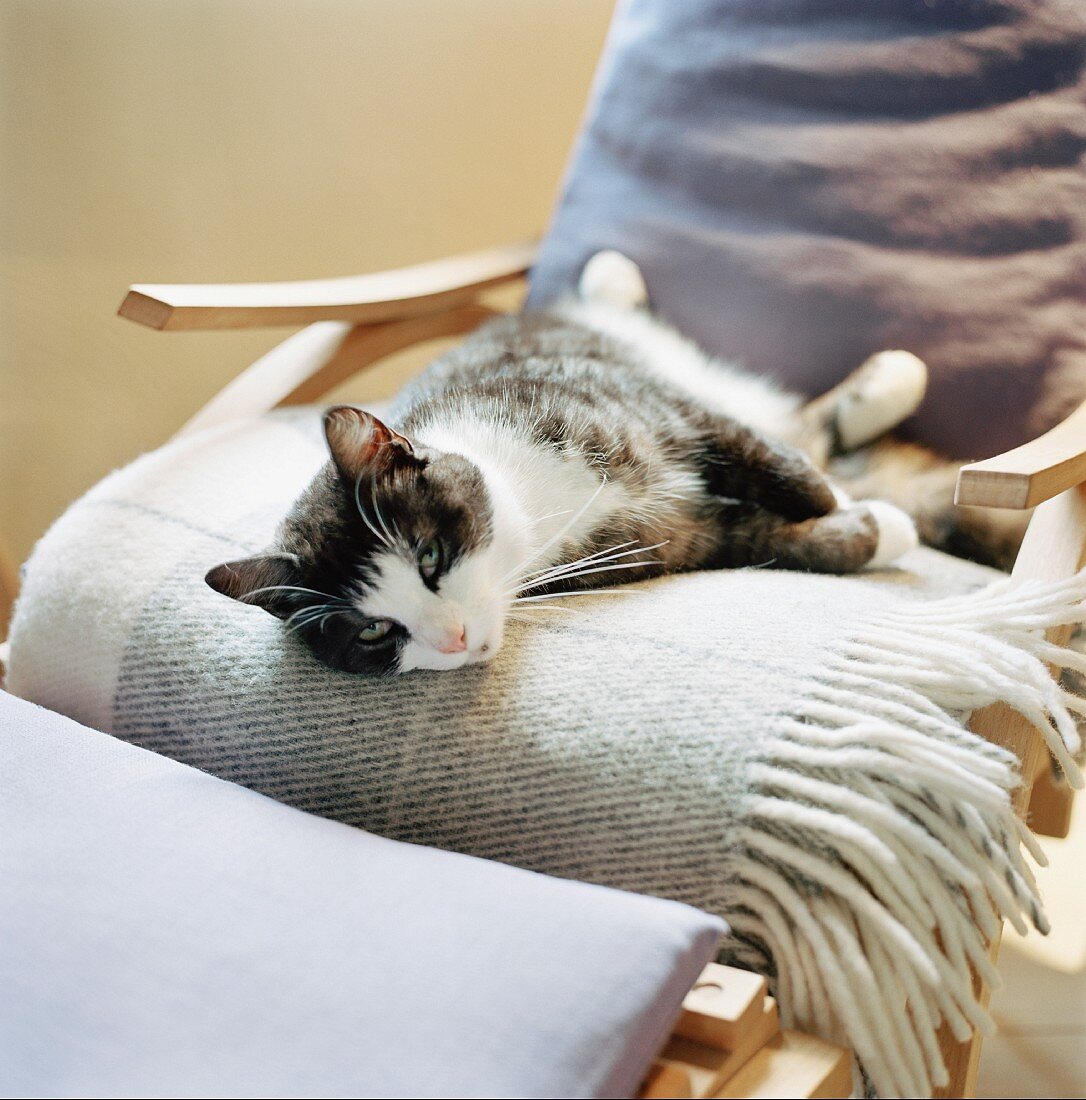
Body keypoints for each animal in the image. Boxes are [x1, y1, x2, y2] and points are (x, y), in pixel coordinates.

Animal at [205, 251, 1021, 673]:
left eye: (430, 555)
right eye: (371, 633)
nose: (453, 640)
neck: (530, 502)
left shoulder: (661, 410)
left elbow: (769, 463)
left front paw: (835, 502)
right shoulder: (669, 541)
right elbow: (777, 542)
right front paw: (873, 528)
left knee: (795, 431)